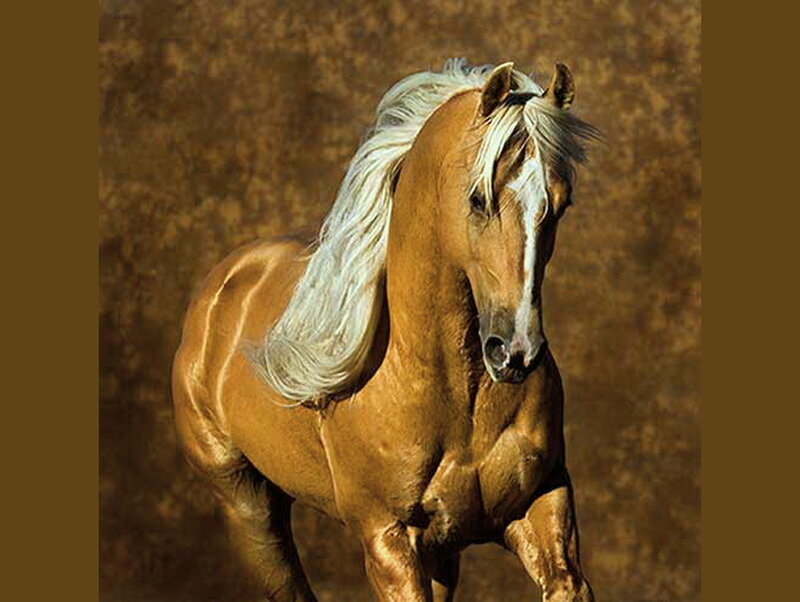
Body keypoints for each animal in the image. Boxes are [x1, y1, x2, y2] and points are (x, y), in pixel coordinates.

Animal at [172, 58, 600, 602]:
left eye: (561, 204)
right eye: (478, 199)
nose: (515, 351)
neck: (452, 394)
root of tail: (220, 286)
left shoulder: (540, 508)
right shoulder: (386, 540)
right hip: (249, 512)